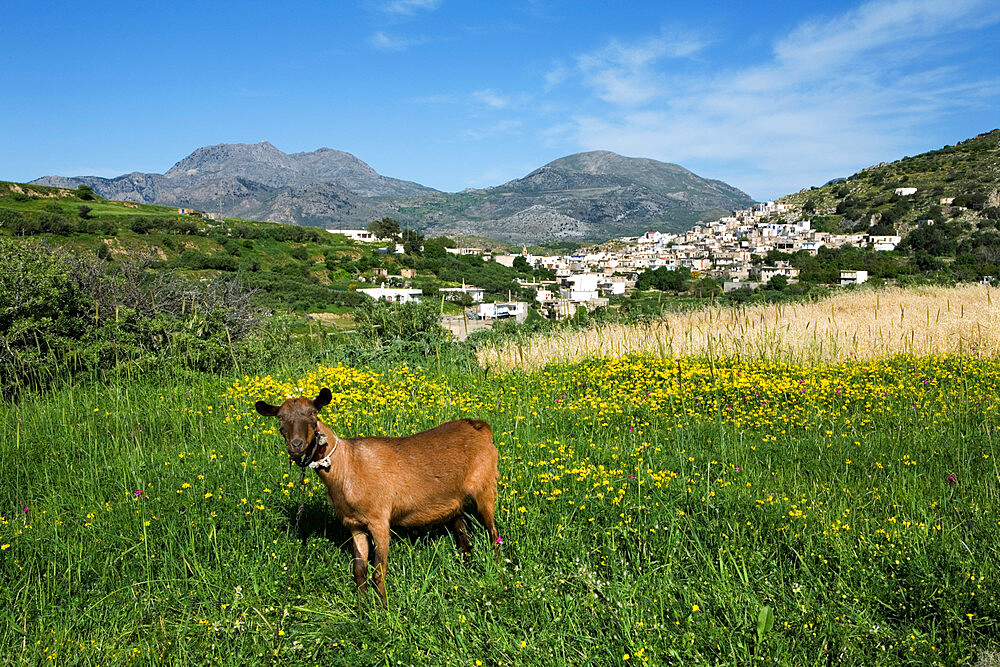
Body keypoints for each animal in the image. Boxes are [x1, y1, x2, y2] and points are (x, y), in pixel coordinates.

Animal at [254, 388, 496, 608]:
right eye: (281, 418)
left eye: (313, 413)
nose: (296, 445)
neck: (348, 466)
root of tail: (481, 427)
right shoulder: (354, 524)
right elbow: (359, 569)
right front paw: (362, 610)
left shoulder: (379, 519)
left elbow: (379, 570)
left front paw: (384, 611)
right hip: (454, 502)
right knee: (462, 535)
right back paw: (466, 568)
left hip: (485, 485)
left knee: (492, 531)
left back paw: (498, 564)